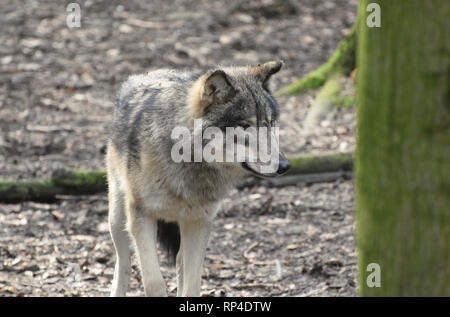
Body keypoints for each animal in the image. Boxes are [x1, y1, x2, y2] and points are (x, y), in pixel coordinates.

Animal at [106, 61, 288, 296]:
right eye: (245, 127)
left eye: (271, 123)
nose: (285, 166)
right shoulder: (141, 218)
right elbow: (154, 282)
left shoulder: (199, 223)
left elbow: (192, 284)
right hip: (117, 219)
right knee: (124, 262)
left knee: (179, 261)